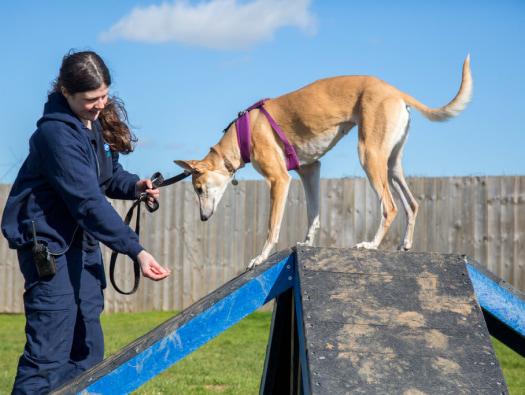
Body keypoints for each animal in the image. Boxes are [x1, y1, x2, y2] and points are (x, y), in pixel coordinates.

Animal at [175, 55, 470, 270]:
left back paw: (371, 245)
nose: (203, 218)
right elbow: (313, 214)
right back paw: (405, 245)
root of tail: (395, 91)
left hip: (369, 155)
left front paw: (260, 257)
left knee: (390, 207)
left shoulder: (279, 180)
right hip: (391, 163)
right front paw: (306, 243)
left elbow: (272, 226)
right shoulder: (310, 170)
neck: (241, 136)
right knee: (412, 204)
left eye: (198, 189)